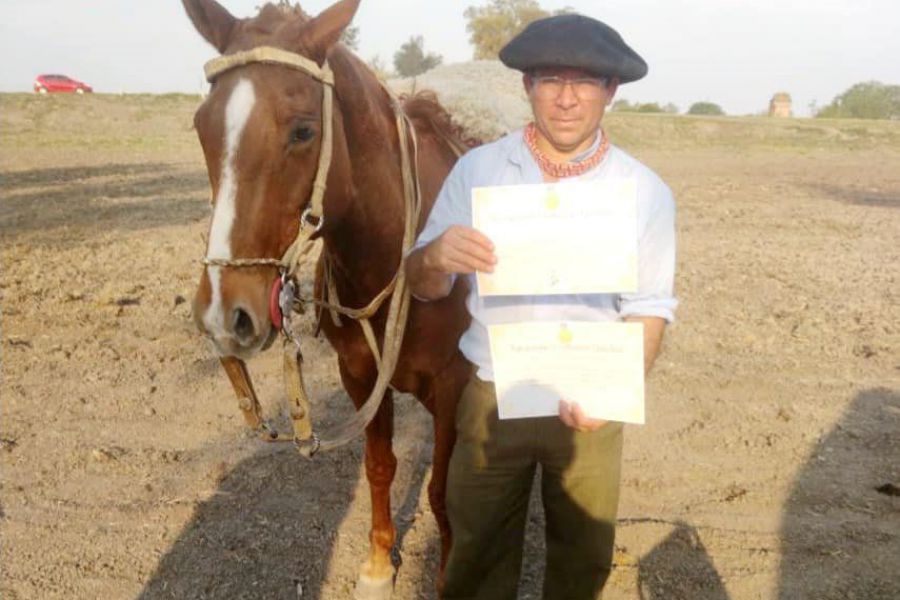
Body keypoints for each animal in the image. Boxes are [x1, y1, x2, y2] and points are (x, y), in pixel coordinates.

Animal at [184, 0, 474, 596]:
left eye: (303, 130)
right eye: (202, 127)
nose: (226, 315)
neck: (405, 256)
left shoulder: (453, 385)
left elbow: (440, 491)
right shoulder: (360, 375)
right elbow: (380, 468)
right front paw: (377, 567)